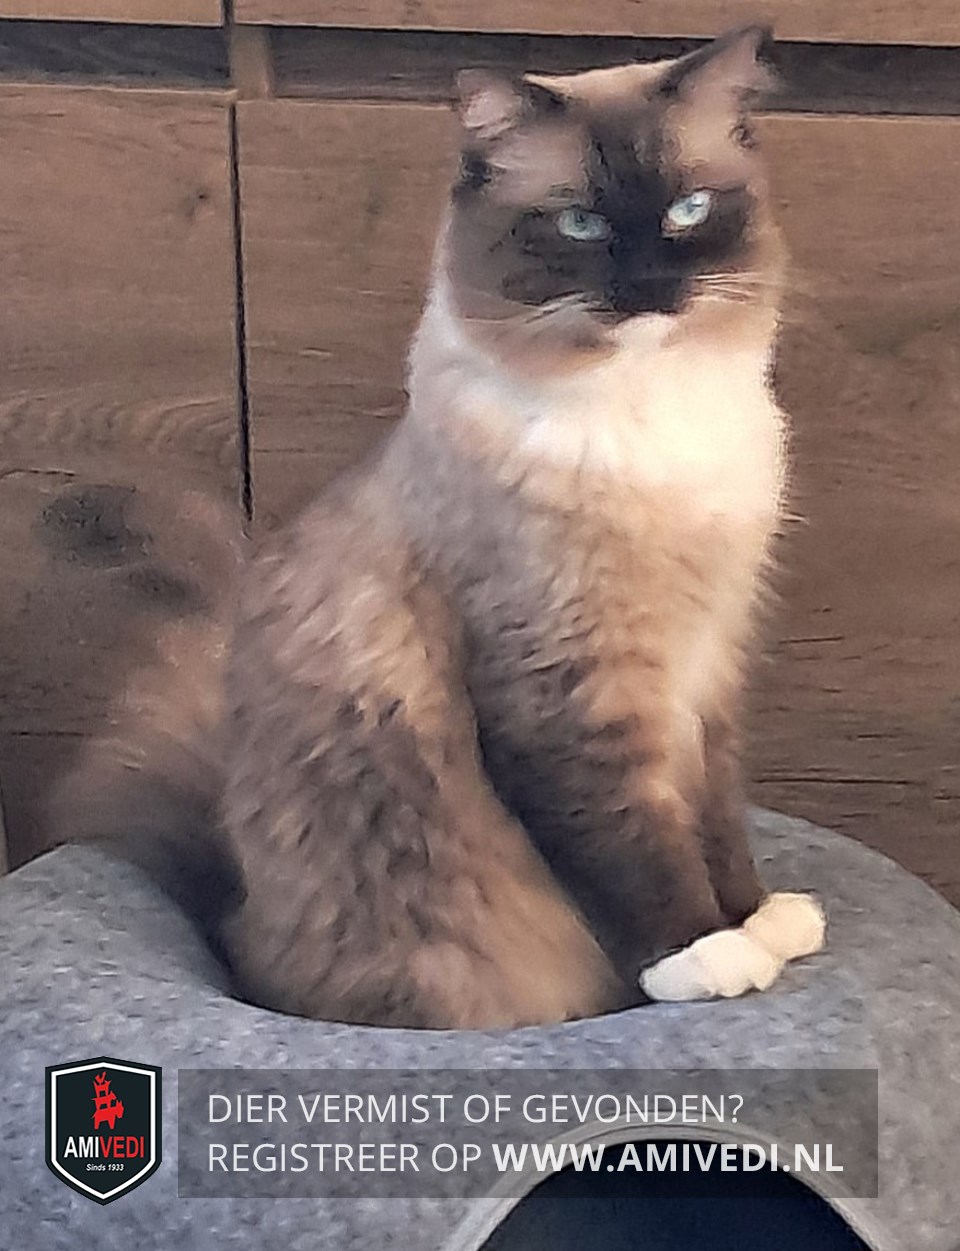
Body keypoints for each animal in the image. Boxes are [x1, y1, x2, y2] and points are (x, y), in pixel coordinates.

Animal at [53, 26, 824, 1029]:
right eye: (580, 226)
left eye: (689, 211)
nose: (652, 289)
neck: (651, 423)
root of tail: (228, 918)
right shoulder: (571, 695)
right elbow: (638, 846)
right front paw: (705, 954)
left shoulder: (710, 667)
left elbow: (719, 821)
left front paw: (760, 921)